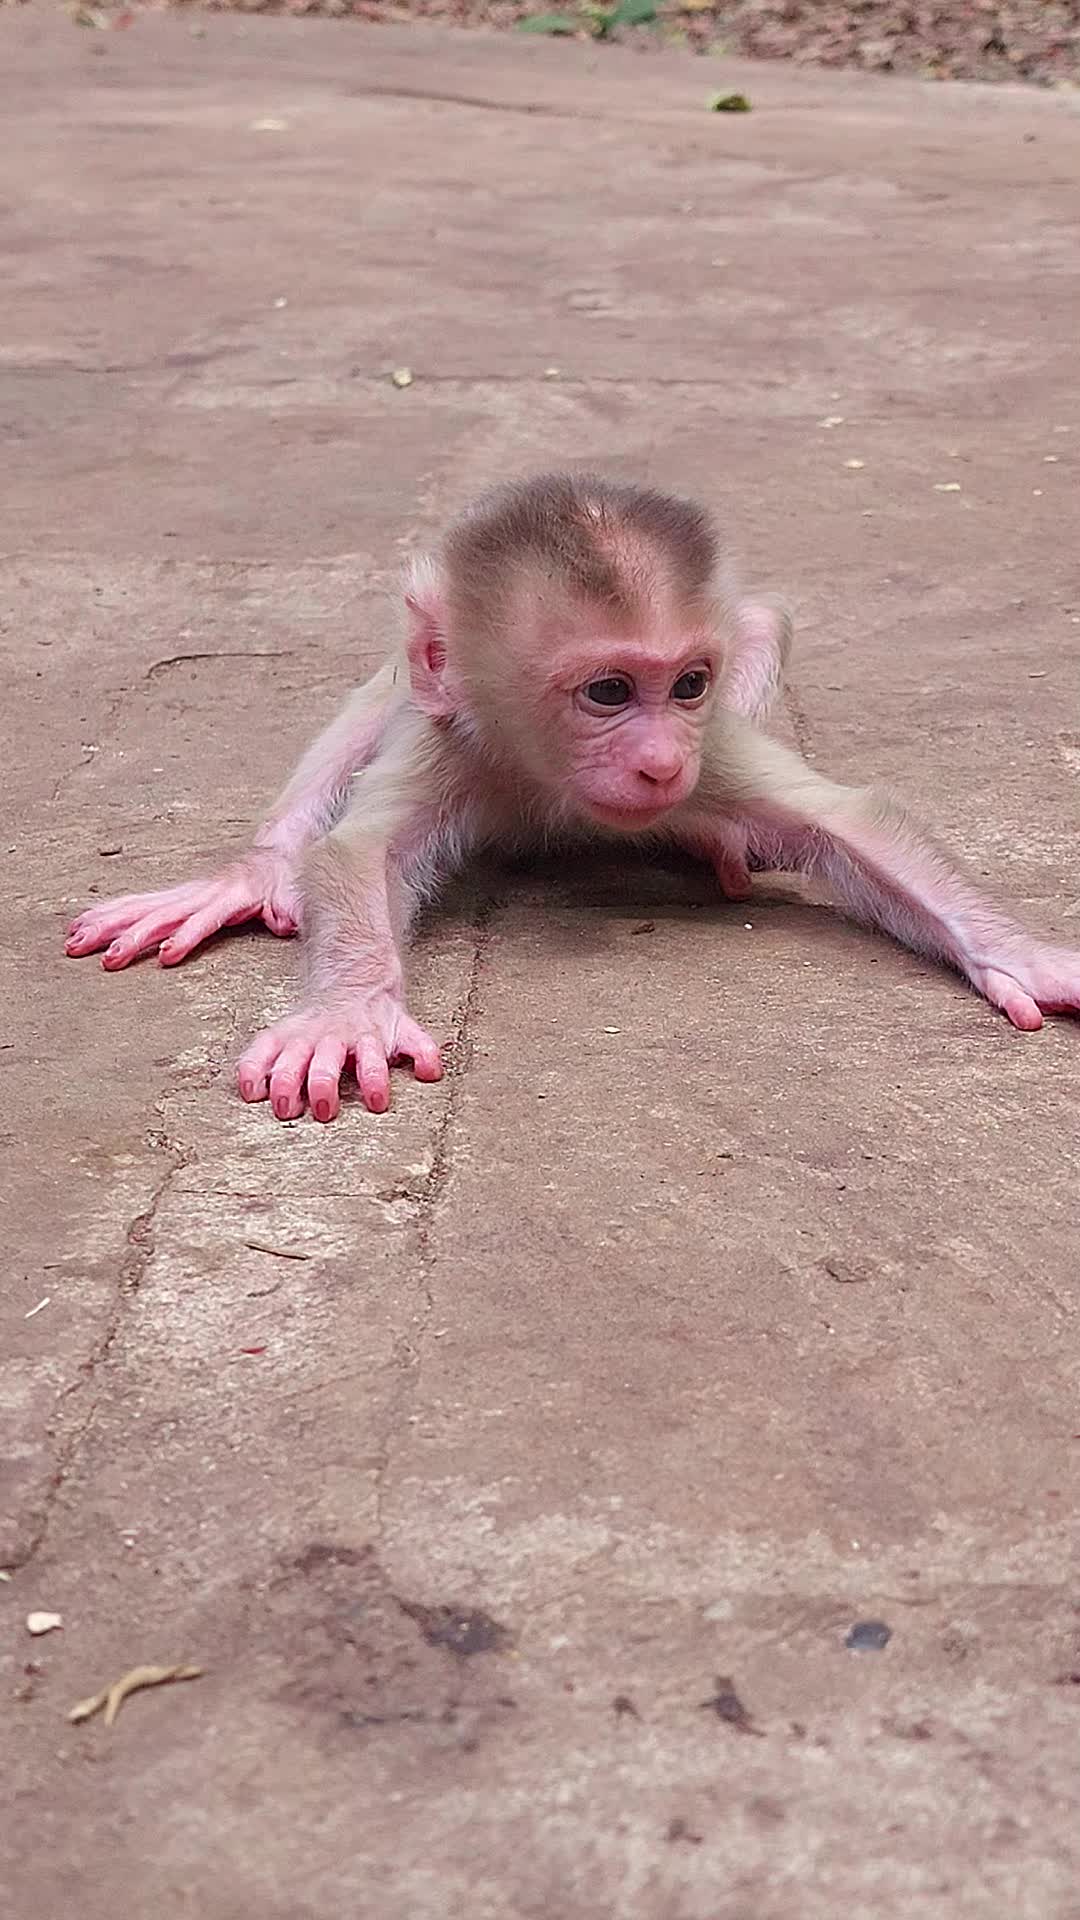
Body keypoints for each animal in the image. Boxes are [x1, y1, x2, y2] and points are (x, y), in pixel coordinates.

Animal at [65, 472, 1080, 1122]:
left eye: (687, 685)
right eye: (608, 693)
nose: (660, 764)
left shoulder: (710, 750)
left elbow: (847, 820)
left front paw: (1026, 959)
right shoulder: (459, 738)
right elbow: (358, 851)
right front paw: (346, 1011)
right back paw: (254, 873)